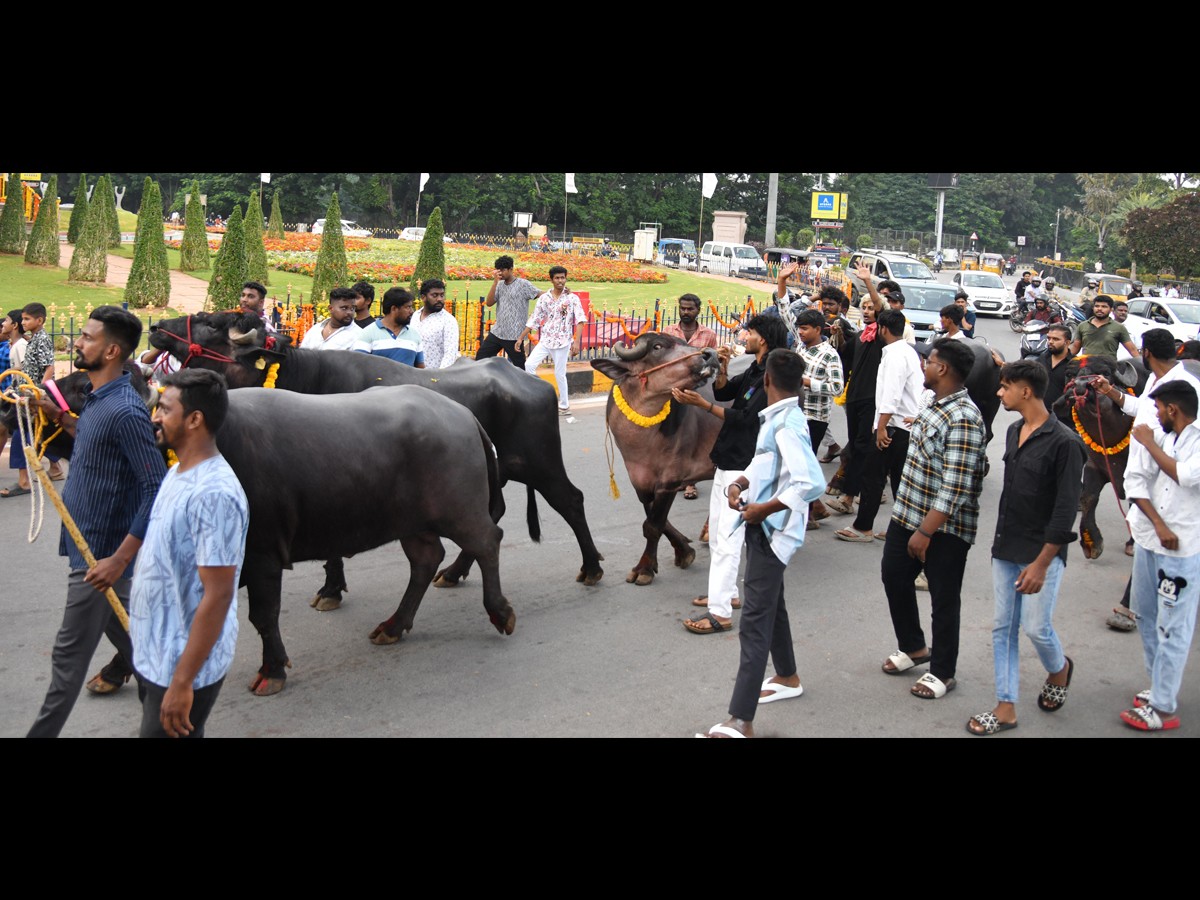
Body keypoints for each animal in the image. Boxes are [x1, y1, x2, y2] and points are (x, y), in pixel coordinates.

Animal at [588, 336, 715, 588]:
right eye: (657, 347)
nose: (710, 355)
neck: (644, 439)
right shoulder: (641, 483)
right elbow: (655, 521)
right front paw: (684, 550)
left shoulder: (669, 481)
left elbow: (654, 526)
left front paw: (644, 568)